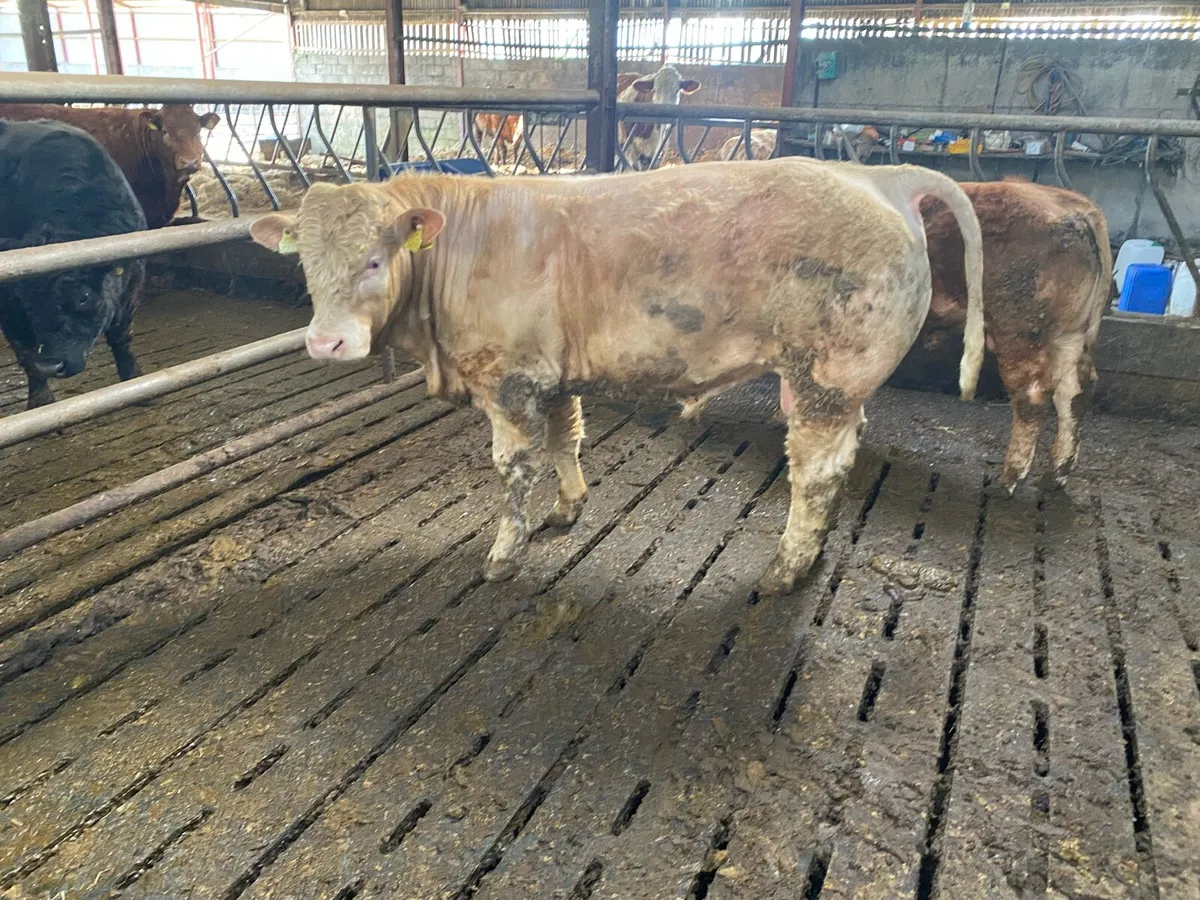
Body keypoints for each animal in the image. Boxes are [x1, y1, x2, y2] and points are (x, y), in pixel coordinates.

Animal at [0, 119, 147, 409]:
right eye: (26, 301)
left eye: (84, 297)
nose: (50, 365)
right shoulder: (8, 301)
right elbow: (24, 351)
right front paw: (41, 400)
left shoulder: (133, 285)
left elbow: (122, 337)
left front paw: (134, 380)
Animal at [248, 159, 983, 594]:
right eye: (304, 261)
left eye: (375, 259)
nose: (326, 341)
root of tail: (875, 175)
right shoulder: (554, 373)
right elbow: (564, 440)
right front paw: (569, 507)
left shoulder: (510, 378)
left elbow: (513, 469)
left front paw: (503, 555)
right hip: (841, 386)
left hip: (825, 377)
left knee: (817, 473)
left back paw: (785, 567)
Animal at [777, 178, 1111, 495]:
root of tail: (1076, 208)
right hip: (1071, 333)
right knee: (1075, 391)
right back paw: (1055, 477)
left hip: (1021, 329)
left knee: (1033, 396)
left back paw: (1008, 481)